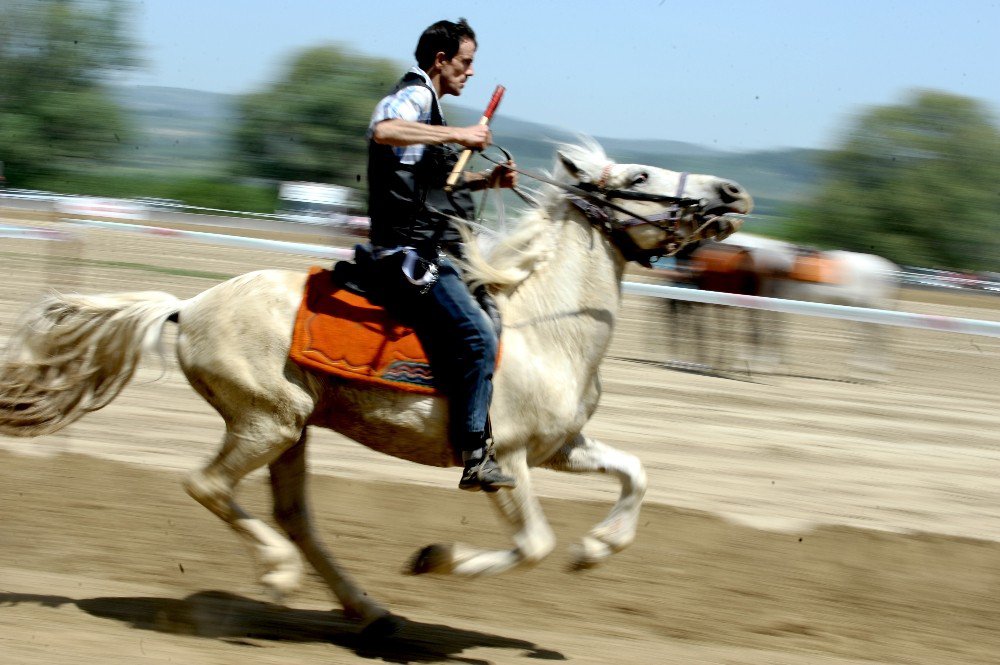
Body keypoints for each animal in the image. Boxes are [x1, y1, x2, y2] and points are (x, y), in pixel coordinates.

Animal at [0, 144, 752, 632]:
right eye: (638, 175)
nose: (732, 193)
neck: (545, 327)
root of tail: (188, 305)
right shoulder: (504, 457)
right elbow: (535, 543)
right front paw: (434, 559)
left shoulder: (562, 447)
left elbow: (636, 473)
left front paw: (596, 550)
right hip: (268, 420)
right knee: (207, 484)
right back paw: (281, 575)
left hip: (293, 429)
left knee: (294, 515)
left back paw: (367, 609)